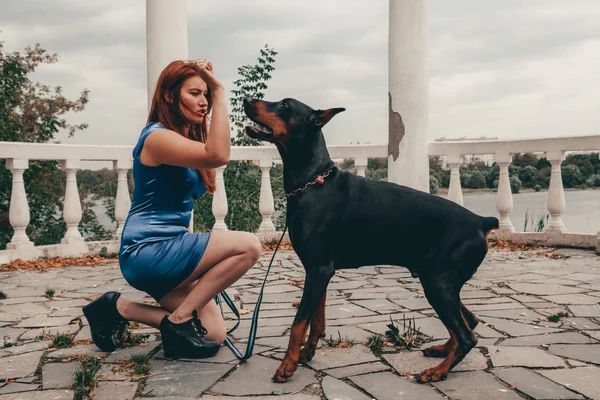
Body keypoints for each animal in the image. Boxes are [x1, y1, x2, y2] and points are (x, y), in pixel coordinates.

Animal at [241, 97, 500, 384]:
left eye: (285, 105)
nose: (246, 101)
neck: (312, 183)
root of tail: (481, 221)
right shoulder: (318, 270)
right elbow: (316, 320)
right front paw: (307, 352)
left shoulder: (319, 269)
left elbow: (298, 323)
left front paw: (288, 365)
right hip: (439, 281)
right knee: (470, 322)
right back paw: (441, 351)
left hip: (439, 284)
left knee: (468, 336)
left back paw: (437, 371)